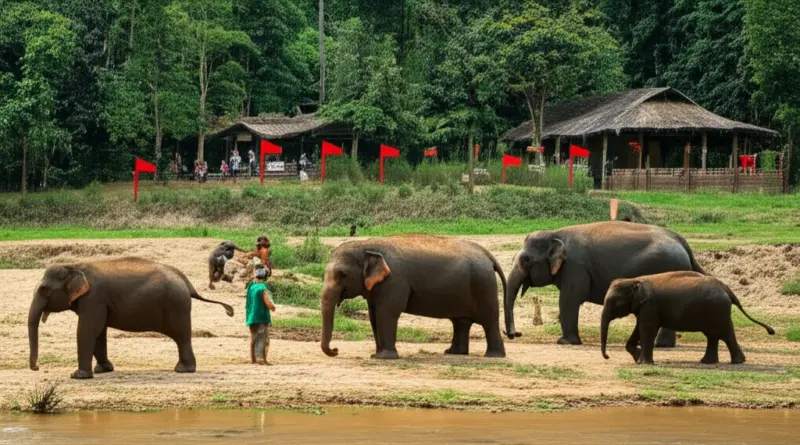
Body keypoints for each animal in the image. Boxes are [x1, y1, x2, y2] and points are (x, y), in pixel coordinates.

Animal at [29, 257, 234, 379]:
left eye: (44, 290)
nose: (37, 367)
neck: (75, 266)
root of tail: (187, 282)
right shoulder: (99, 302)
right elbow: (99, 332)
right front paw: (103, 370)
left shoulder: (94, 298)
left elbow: (87, 330)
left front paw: (78, 376)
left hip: (177, 306)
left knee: (181, 336)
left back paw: (183, 370)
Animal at [320, 234, 507, 359]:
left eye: (342, 275)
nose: (336, 350)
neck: (368, 244)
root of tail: (487, 254)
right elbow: (374, 316)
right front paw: (376, 355)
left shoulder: (395, 281)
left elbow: (386, 313)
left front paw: (384, 357)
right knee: (460, 322)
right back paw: (453, 353)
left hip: (484, 286)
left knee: (489, 321)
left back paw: (493, 356)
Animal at [504, 221, 706, 346]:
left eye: (526, 260)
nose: (515, 334)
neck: (556, 233)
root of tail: (683, 242)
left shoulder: (576, 268)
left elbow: (569, 299)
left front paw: (564, 342)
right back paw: (661, 344)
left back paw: (660, 345)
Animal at [600, 271, 775, 364]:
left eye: (616, 303)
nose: (607, 357)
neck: (635, 280)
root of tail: (727, 288)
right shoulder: (644, 307)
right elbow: (639, 327)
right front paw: (637, 358)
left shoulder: (650, 305)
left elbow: (647, 328)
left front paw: (642, 363)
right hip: (717, 310)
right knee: (716, 334)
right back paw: (711, 362)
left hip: (717, 309)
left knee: (722, 333)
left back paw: (735, 362)